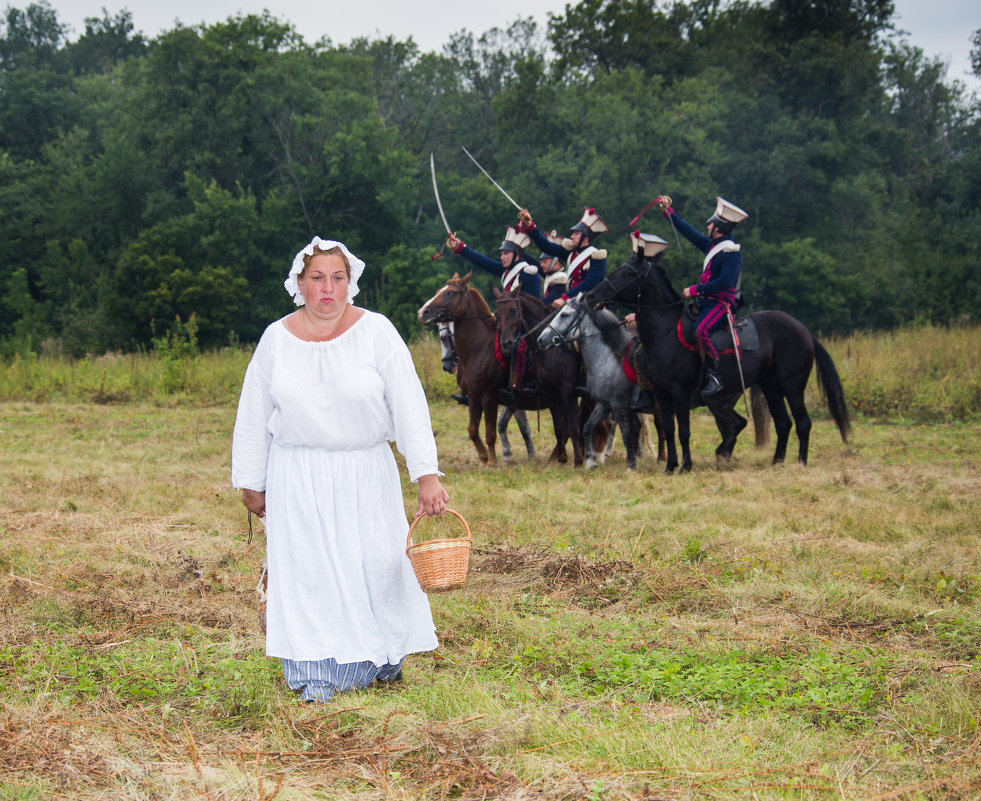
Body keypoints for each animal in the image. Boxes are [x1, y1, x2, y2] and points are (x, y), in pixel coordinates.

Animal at [580, 252, 848, 468]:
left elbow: (684, 431)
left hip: (791, 387)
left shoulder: (680, 393)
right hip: (770, 387)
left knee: (802, 423)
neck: (666, 333)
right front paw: (670, 466)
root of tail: (803, 330)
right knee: (783, 423)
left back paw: (801, 463)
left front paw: (685, 466)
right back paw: (776, 463)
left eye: (627, 273)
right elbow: (670, 430)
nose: (591, 296)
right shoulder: (663, 394)